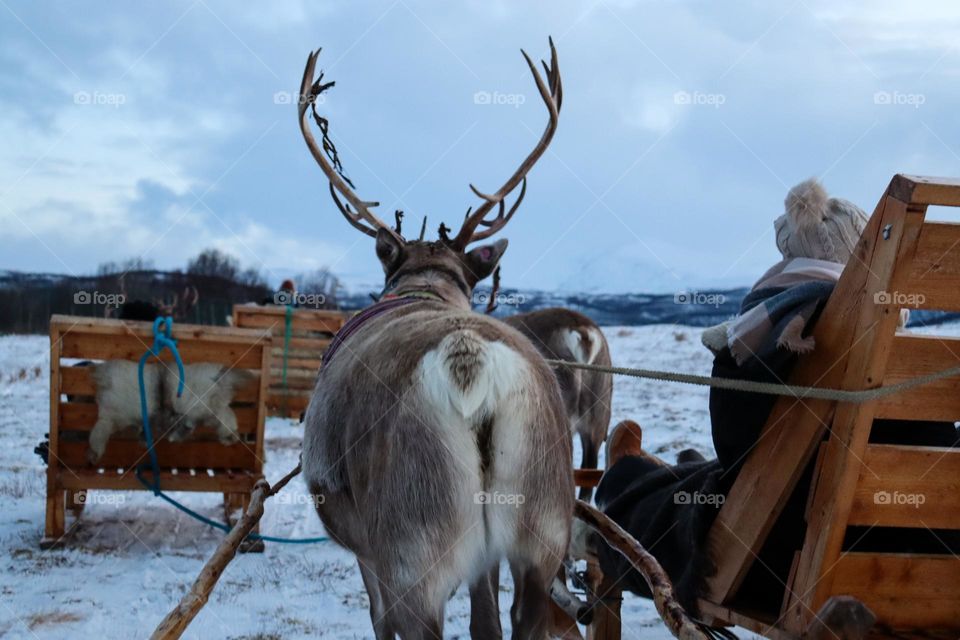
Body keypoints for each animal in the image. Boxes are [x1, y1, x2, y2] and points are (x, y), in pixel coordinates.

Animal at [299, 40, 573, 640]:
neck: (426, 287)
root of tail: (467, 361)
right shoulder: (488, 558)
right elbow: (485, 621)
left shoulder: (369, 553)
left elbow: (377, 620)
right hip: (543, 532)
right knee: (519, 615)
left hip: (414, 542)